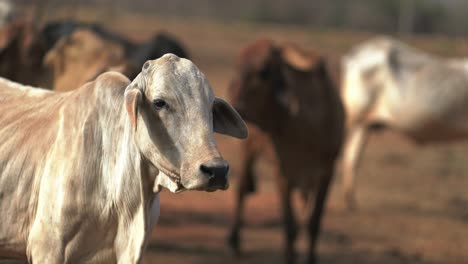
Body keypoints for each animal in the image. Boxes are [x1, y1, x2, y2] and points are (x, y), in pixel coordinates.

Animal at [227, 39, 344, 264]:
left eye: (263, 72)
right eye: (237, 67)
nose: (234, 105)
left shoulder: (327, 172)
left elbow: (313, 222)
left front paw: (311, 259)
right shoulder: (283, 174)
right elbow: (290, 228)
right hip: (247, 150)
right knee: (241, 190)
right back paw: (234, 241)